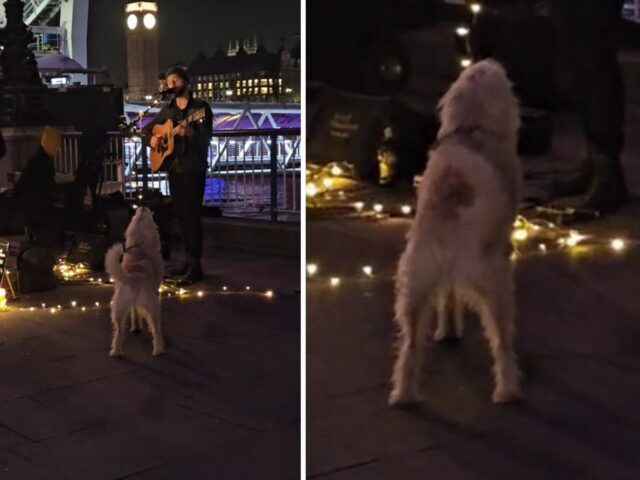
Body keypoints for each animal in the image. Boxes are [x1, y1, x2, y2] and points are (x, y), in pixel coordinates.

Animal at [104, 206, 165, 356]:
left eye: (135, 216)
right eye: (149, 216)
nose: (143, 205)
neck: (139, 244)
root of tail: (135, 276)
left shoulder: (131, 305)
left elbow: (135, 313)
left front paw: (136, 327)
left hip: (118, 309)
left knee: (118, 332)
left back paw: (116, 351)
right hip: (154, 306)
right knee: (156, 329)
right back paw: (159, 349)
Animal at [388, 59, 524, 404]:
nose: (493, 62)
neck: (469, 131)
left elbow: (448, 299)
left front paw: (448, 330)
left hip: (414, 284)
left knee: (410, 344)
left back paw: (404, 393)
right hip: (495, 283)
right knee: (502, 342)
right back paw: (508, 390)